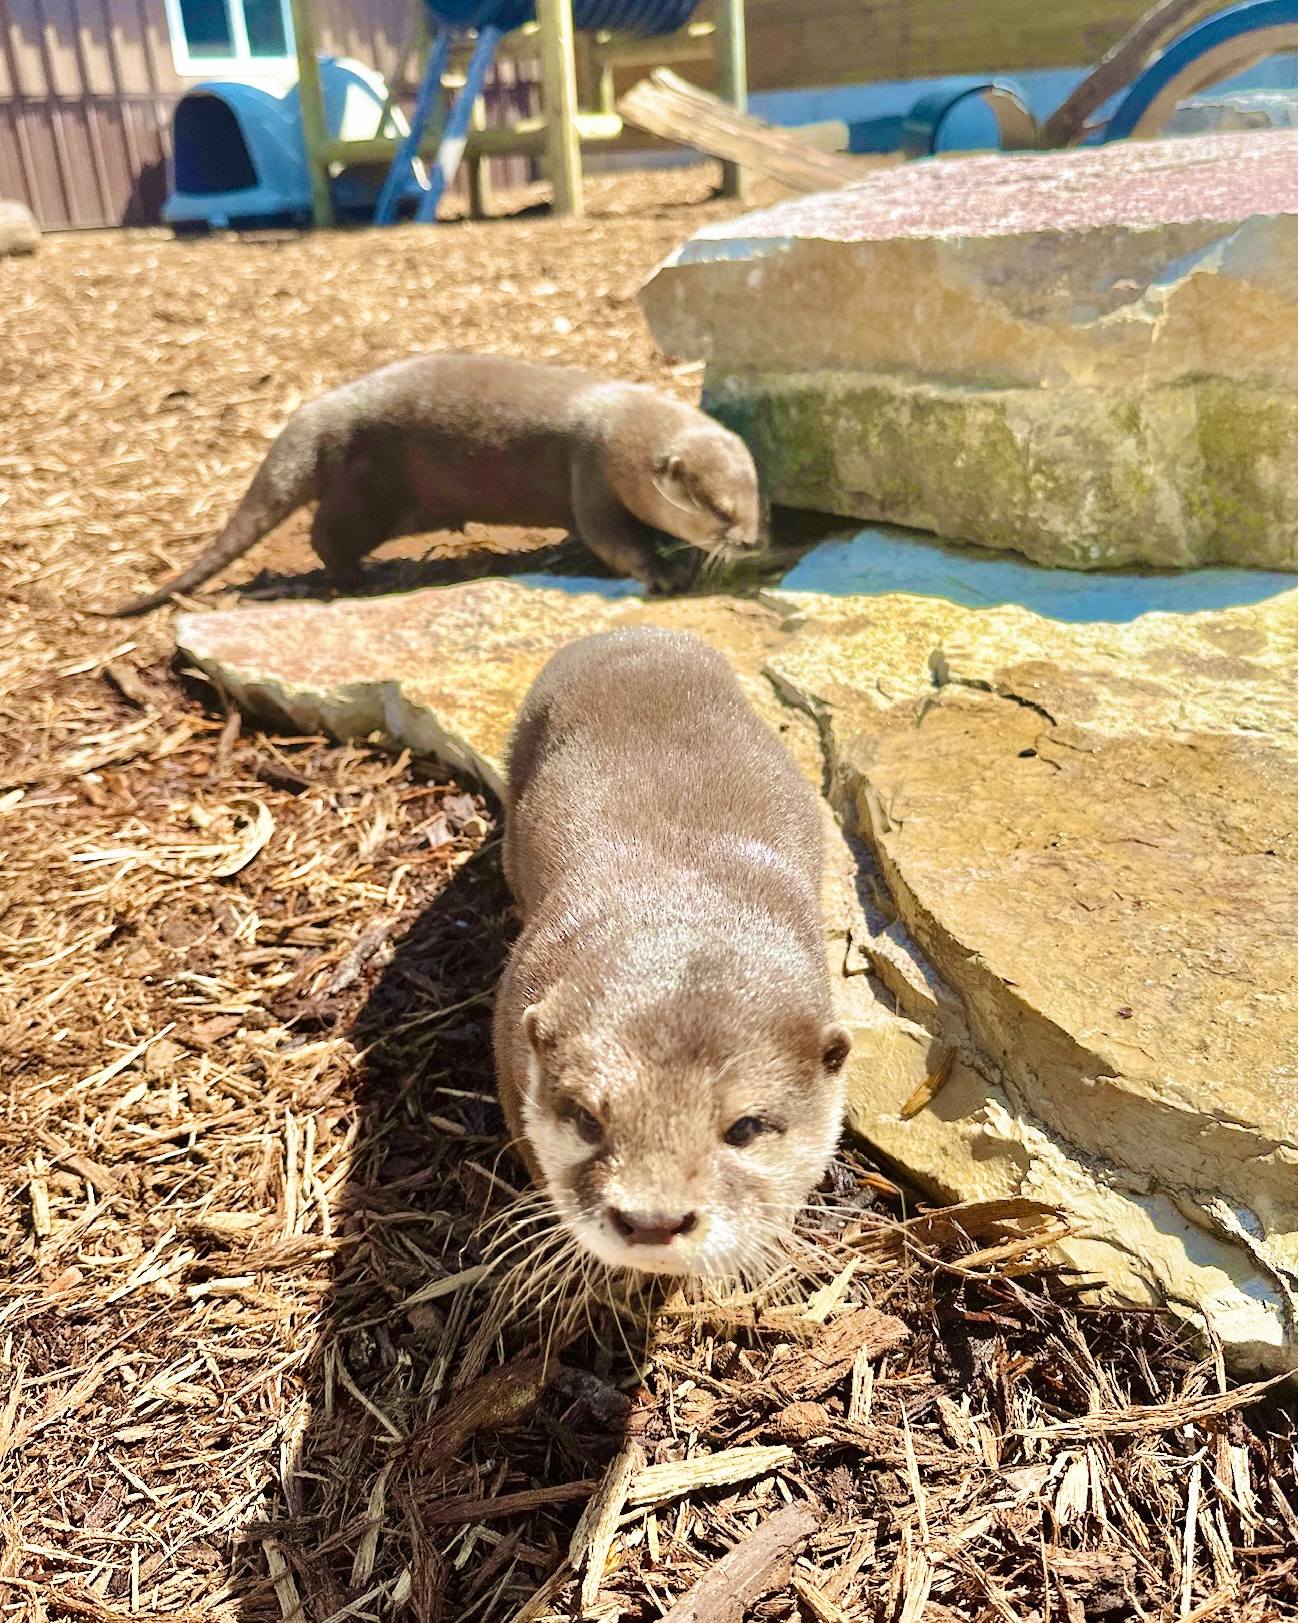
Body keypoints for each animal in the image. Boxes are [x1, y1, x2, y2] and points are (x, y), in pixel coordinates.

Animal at [108, 352, 772, 610]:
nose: (750, 540)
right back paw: (366, 578)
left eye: (756, 501)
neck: (616, 420)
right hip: (369, 486)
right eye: (718, 509)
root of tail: (315, 416)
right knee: (326, 535)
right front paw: (664, 573)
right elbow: (610, 539)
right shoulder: (591, 471)